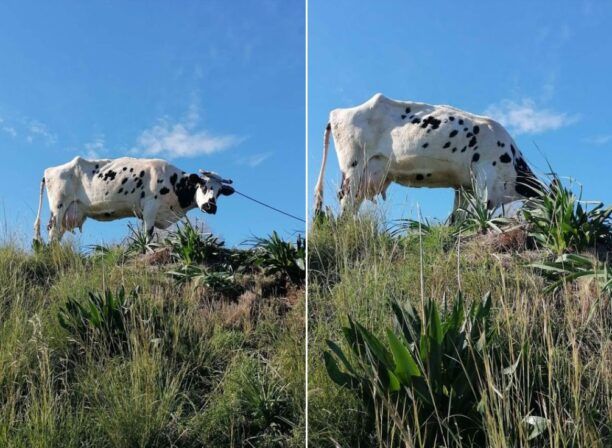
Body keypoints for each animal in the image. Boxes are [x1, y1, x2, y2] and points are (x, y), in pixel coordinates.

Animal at [33, 157, 235, 242]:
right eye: (203, 186)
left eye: (219, 192)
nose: (210, 206)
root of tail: (50, 170)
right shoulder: (151, 207)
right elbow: (148, 234)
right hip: (58, 207)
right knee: (52, 231)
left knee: (58, 233)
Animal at [316, 93, 540, 215]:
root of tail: (338, 112)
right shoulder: (486, 183)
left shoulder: (464, 188)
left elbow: (456, 219)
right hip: (352, 169)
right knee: (345, 207)